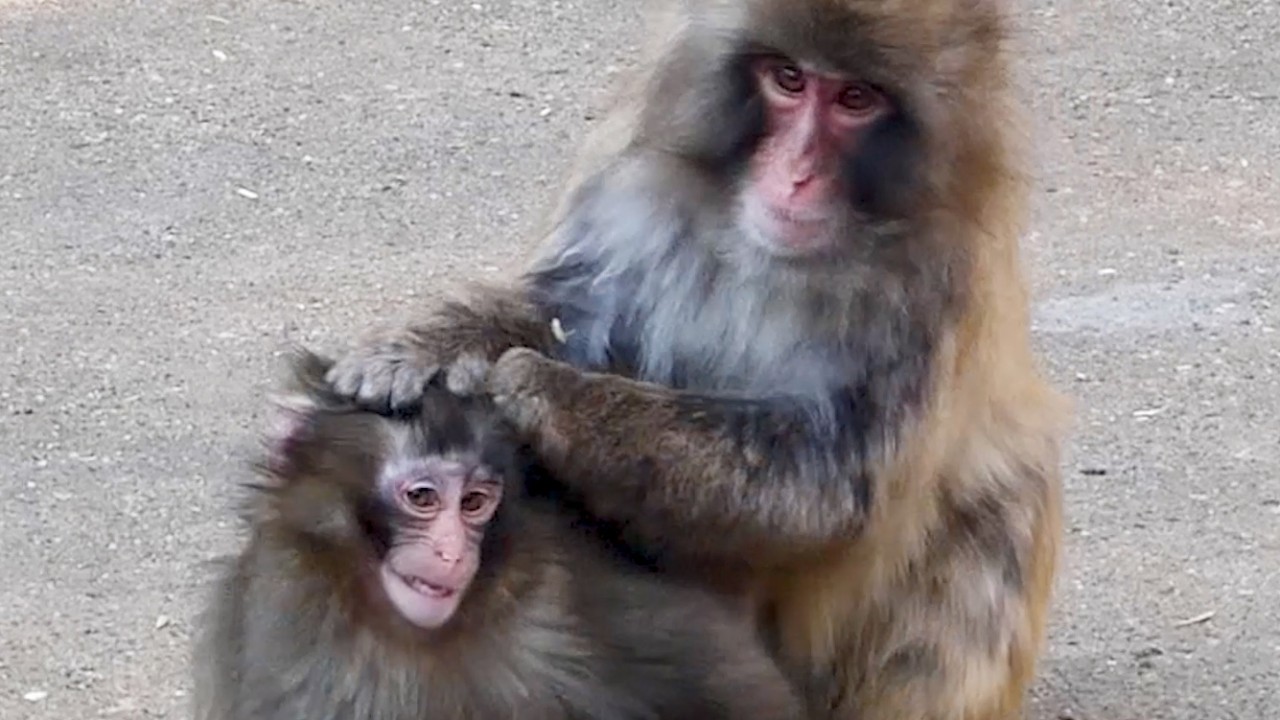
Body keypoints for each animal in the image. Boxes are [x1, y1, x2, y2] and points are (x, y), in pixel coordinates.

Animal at [324, 1, 1069, 718]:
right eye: (788, 80)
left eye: (855, 98)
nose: (795, 175)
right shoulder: (633, 183)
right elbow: (573, 309)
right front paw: (434, 342)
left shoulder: (935, 285)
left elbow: (826, 482)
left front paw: (540, 390)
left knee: (995, 509)